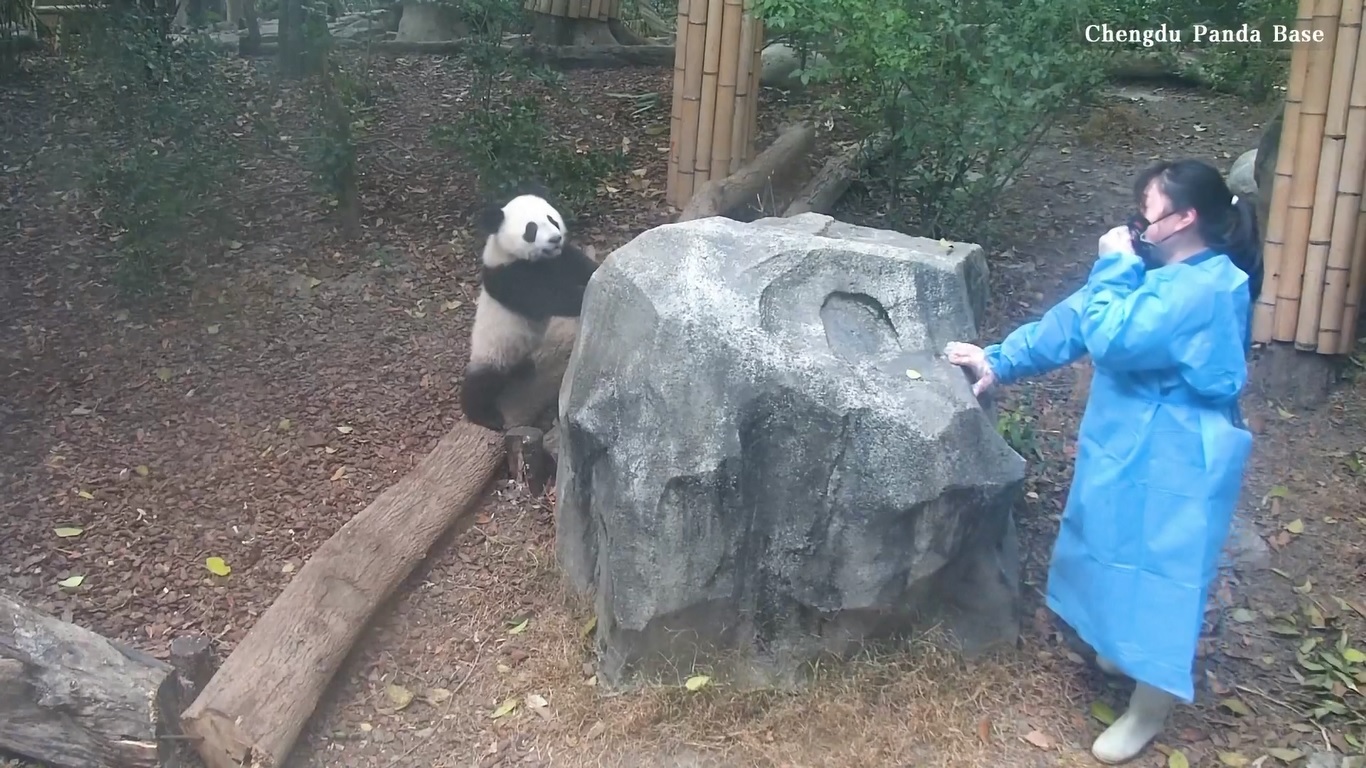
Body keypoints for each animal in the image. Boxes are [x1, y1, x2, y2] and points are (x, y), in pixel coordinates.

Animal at [460, 191, 600, 432]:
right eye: (531, 229)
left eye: (552, 219)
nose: (555, 239)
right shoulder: (507, 276)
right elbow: (547, 297)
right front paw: (583, 294)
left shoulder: (560, 258)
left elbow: (579, 266)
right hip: (492, 351)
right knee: (480, 383)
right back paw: (486, 416)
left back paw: (523, 369)